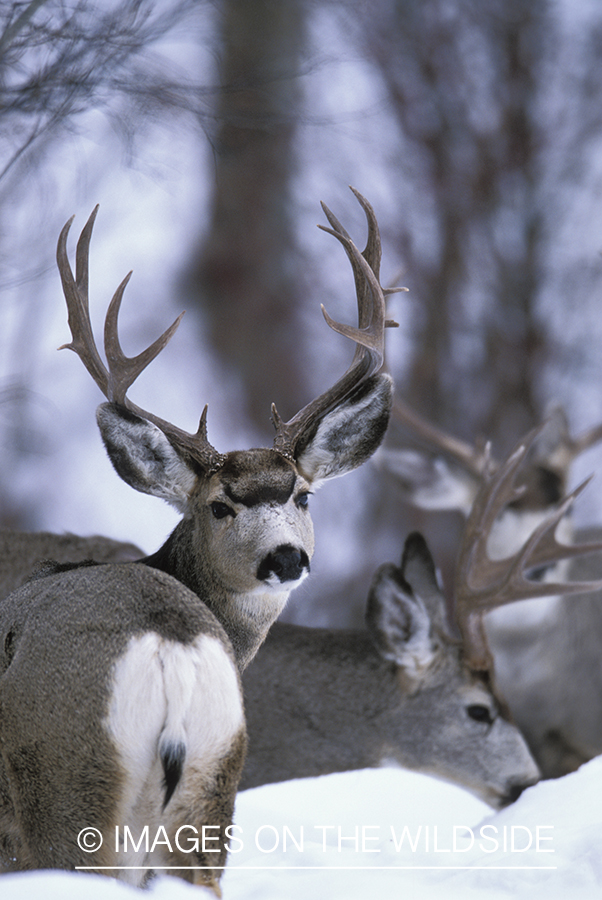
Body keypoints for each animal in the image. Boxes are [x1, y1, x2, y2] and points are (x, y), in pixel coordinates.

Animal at [0, 187, 397, 894]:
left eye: (302, 496)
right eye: (219, 506)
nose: (287, 557)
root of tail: (170, 648)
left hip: (70, 785)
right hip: (209, 786)